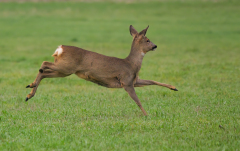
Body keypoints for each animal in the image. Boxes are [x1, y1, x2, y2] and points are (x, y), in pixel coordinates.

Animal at [25, 25, 178, 116]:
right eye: (147, 40)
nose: (155, 46)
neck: (131, 64)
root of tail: (60, 48)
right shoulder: (126, 82)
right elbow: (138, 100)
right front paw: (146, 115)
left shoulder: (135, 80)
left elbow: (152, 81)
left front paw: (174, 87)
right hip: (66, 67)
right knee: (44, 64)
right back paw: (31, 87)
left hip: (63, 70)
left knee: (44, 72)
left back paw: (29, 92)